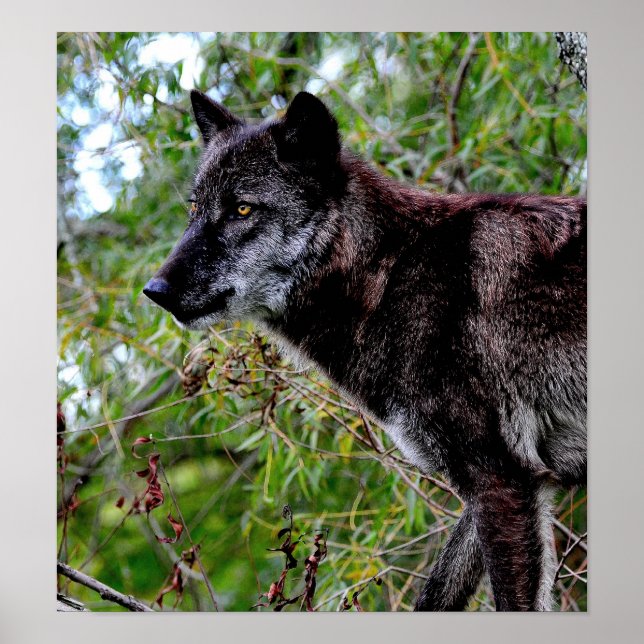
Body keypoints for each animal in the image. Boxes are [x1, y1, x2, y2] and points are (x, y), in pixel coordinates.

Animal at [143, 90, 586, 611]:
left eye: (242, 210)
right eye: (195, 208)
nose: (154, 290)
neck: (390, 275)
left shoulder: (502, 481)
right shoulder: (505, 487)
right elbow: (435, 595)